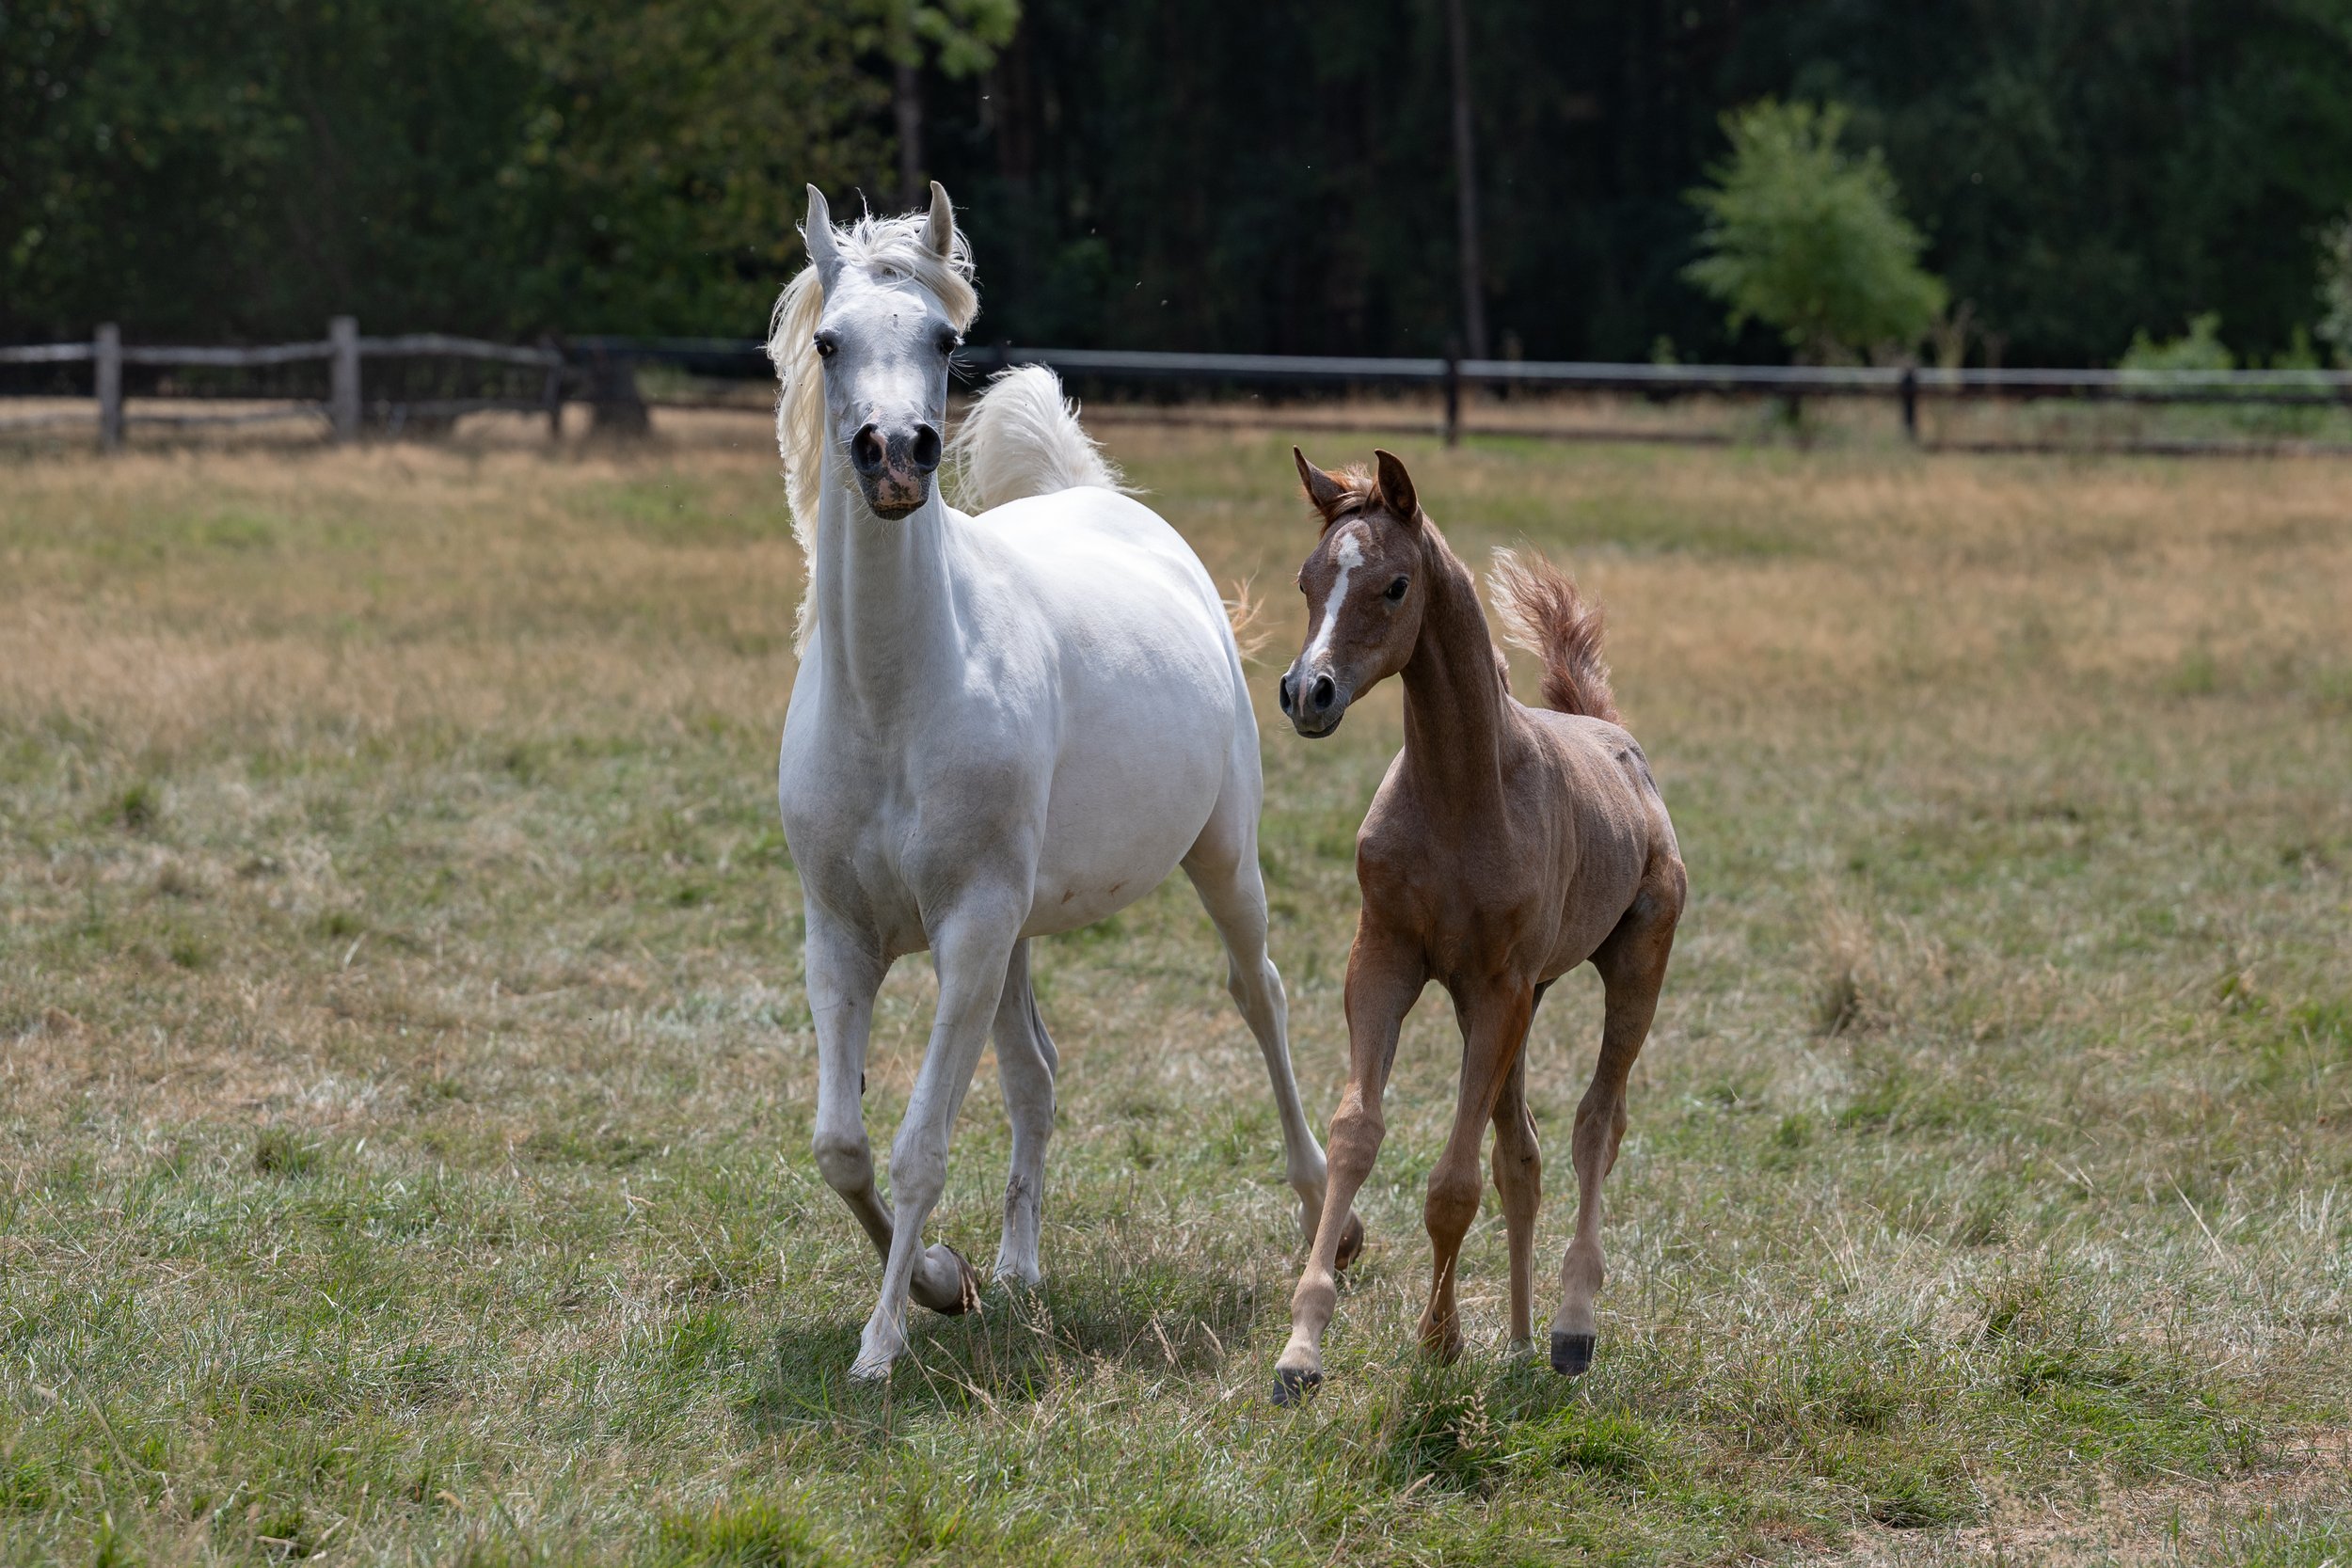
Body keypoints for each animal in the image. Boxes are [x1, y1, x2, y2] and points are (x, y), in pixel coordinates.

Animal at [768, 182, 1337, 1380]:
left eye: (944, 342)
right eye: (830, 341)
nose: (897, 456)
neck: (895, 699)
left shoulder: (970, 929)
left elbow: (917, 1146)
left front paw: (881, 1344)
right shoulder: (841, 934)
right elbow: (842, 1144)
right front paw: (944, 1280)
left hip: (1222, 860)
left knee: (1256, 993)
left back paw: (1327, 1216)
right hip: (1021, 930)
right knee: (1034, 1070)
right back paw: (1020, 1268)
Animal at [1266, 447, 1686, 1402]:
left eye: (1394, 585)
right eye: (1306, 579)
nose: (1307, 691)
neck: (1462, 798)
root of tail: (1616, 739)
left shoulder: (1497, 987)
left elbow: (1452, 1183)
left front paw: (1437, 1341)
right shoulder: (1385, 962)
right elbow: (1357, 1136)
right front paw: (1302, 1348)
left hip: (1629, 967)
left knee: (1595, 1125)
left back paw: (1570, 1327)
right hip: (1515, 999)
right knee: (1521, 1154)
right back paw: (1523, 1343)